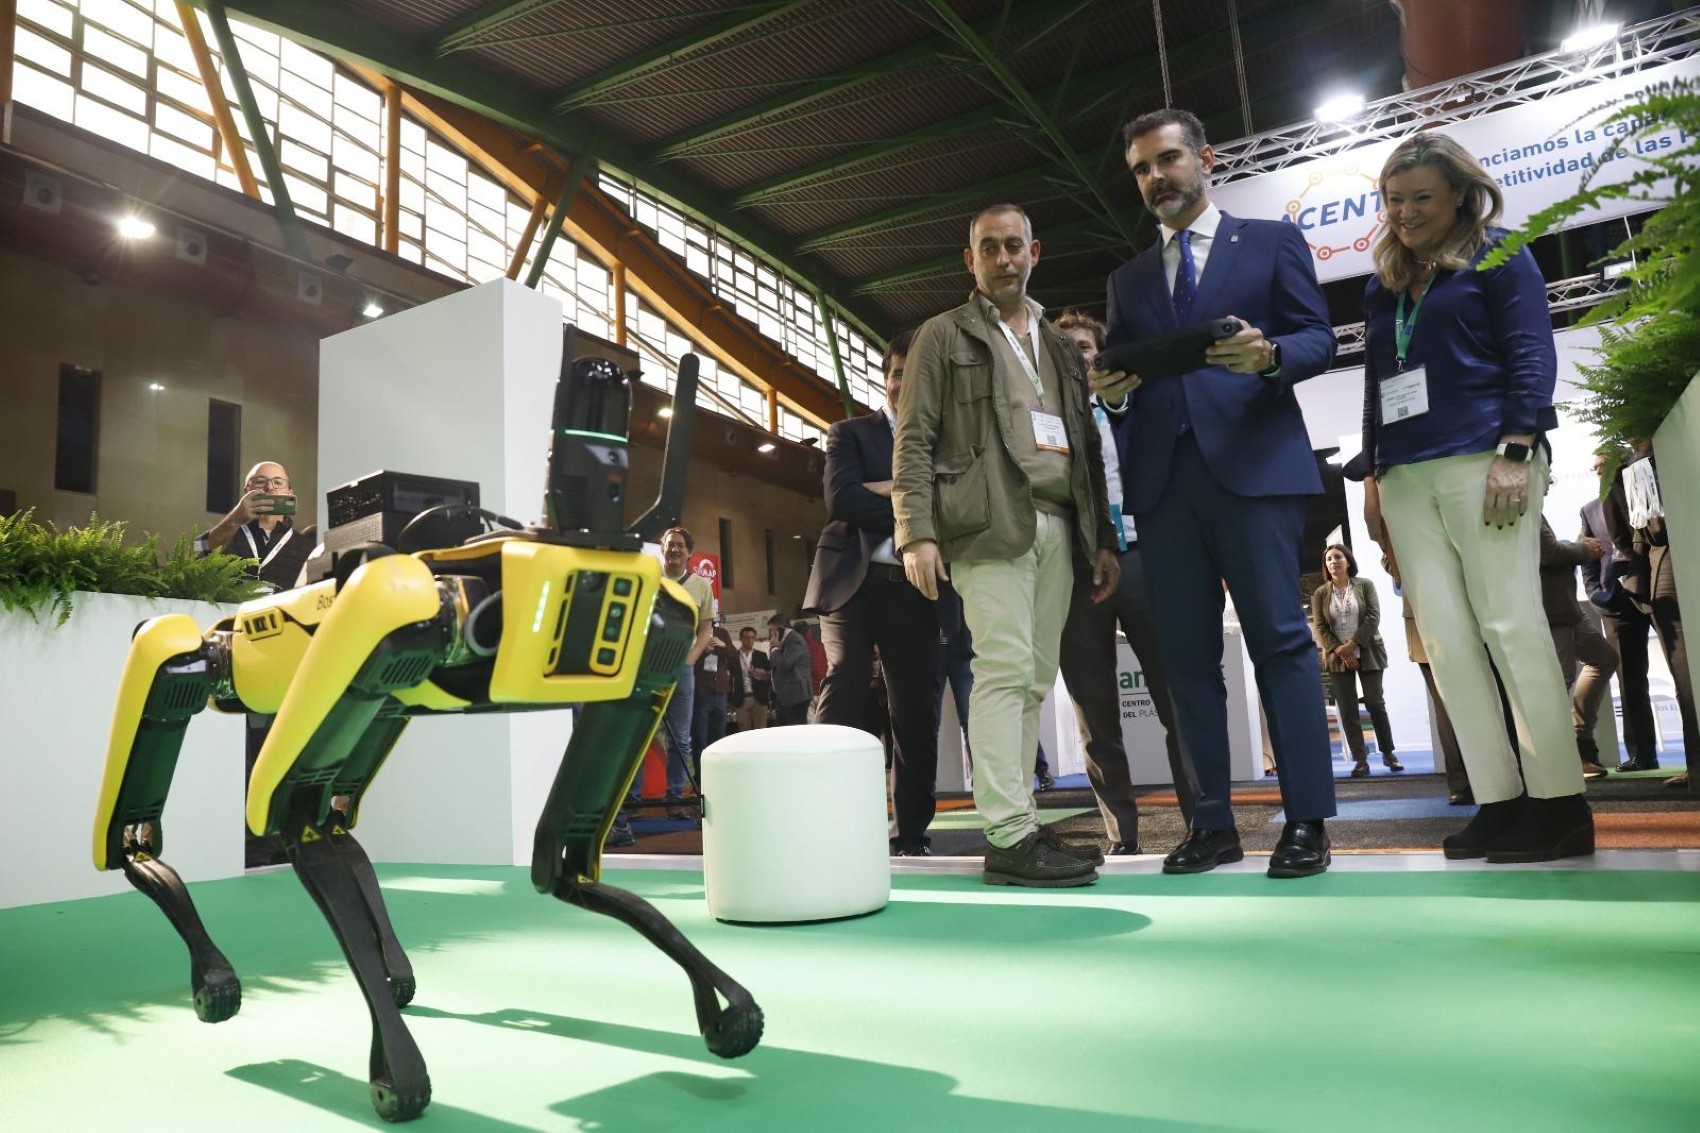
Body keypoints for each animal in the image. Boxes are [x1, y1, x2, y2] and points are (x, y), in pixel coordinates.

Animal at [86, 340, 761, 1115]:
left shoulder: (655, 649)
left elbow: (562, 856)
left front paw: (722, 1000)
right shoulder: (391, 610)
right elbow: (283, 812)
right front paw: (395, 1069)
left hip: (382, 708)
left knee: (337, 818)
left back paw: (388, 967)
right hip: (225, 661)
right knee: (171, 694)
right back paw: (193, 936)